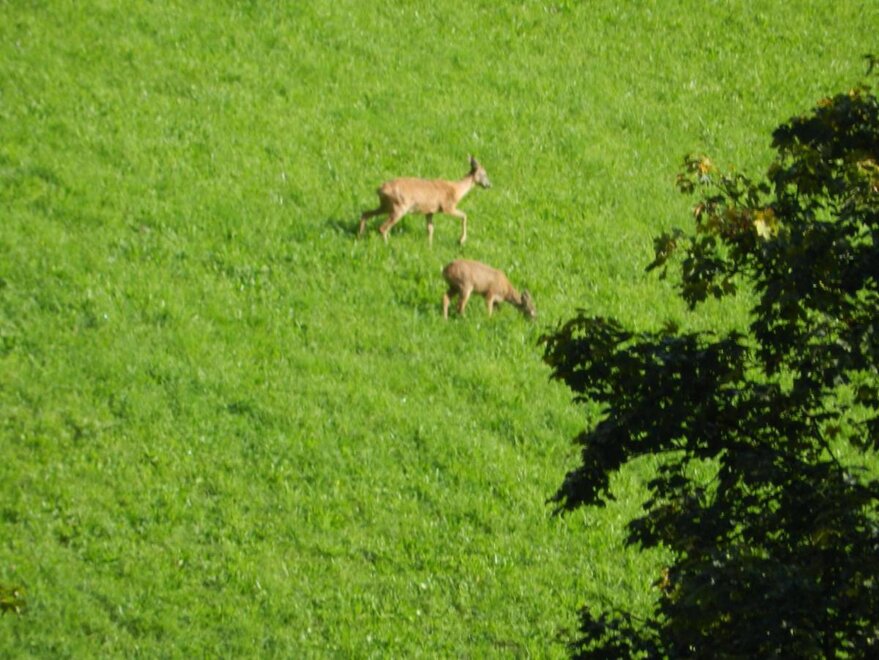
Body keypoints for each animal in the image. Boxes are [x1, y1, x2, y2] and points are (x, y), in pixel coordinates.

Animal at [358, 156, 491, 246]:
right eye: (484, 173)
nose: (489, 185)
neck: (456, 190)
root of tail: (380, 189)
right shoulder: (447, 206)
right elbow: (464, 215)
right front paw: (461, 240)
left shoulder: (430, 211)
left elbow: (430, 229)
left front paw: (429, 247)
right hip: (399, 207)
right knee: (383, 227)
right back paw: (387, 245)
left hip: (386, 205)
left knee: (365, 213)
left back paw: (359, 235)